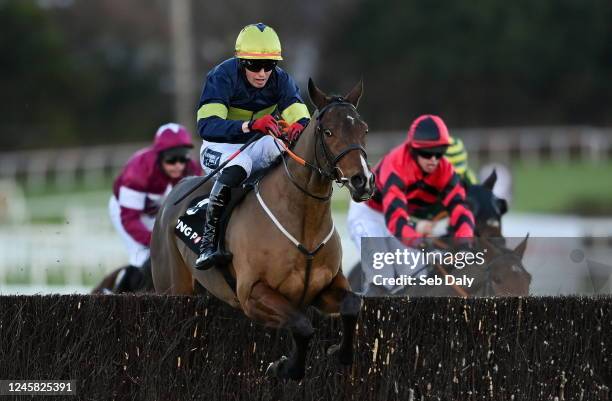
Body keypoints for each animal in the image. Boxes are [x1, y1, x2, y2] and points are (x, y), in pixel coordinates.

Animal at [151, 79, 376, 380]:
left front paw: (339, 352)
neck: (304, 223)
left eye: (363, 129)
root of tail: (173, 195)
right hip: (173, 288)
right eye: (328, 132)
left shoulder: (324, 288)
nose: (363, 181)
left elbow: (352, 306)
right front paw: (286, 367)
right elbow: (301, 324)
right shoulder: (252, 294)